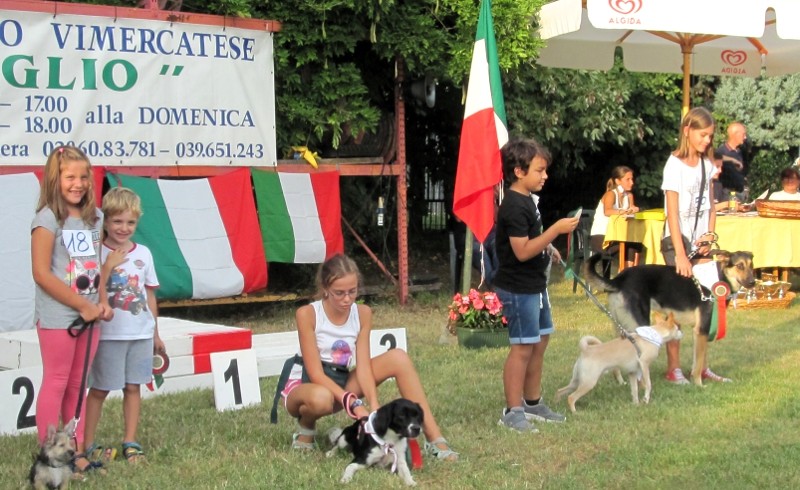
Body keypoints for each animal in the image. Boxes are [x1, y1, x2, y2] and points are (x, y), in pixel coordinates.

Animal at [584, 253, 752, 386]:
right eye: (739, 265)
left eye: (751, 265)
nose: (752, 282)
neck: (718, 279)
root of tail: (619, 279)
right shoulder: (702, 330)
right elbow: (698, 363)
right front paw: (699, 384)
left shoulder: (702, 330)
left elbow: (700, 359)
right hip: (638, 325)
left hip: (620, 326)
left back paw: (621, 382)